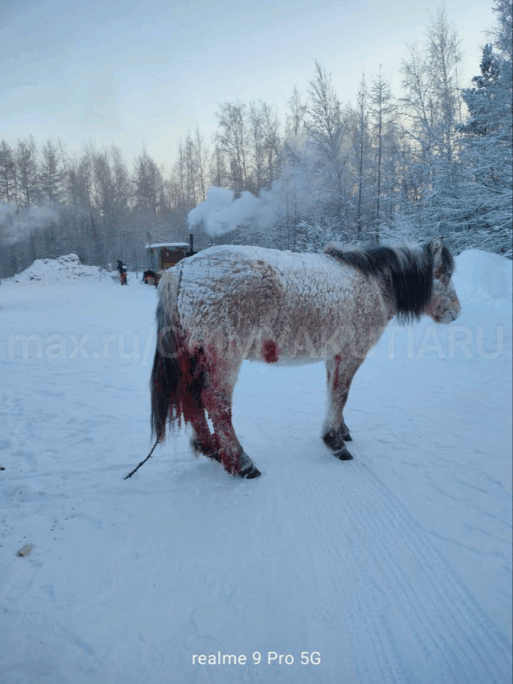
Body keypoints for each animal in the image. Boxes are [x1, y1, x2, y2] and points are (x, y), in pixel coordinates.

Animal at [150, 237, 461, 479]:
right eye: (443, 275)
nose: (456, 313)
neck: (374, 283)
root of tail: (180, 270)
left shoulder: (334, 356)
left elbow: (333, 393)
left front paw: (341, 430)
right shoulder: (352, 354)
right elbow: (341, 394)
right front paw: (334, 442)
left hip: (196, 357)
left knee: (193, 399)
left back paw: (209, 448)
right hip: (223, 357)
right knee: (216, 403)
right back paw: (241, 462)